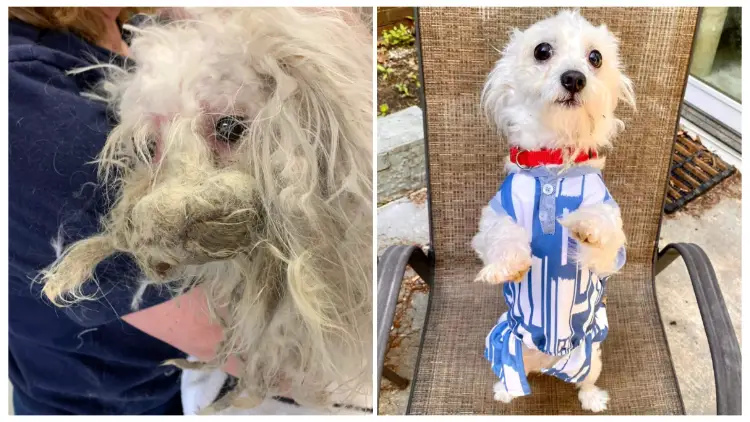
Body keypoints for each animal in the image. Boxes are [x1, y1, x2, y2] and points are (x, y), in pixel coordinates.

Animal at [472, 9, 636, 412]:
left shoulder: (612, 254)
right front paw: (509, 266)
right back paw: (504, 390)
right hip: (501, 343)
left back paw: (593, 399)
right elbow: (501, 237)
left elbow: (605, 230)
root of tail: (548, 365)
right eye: (542, 51)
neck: (552, 166)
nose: (574, 77)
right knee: (510, 373)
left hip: (593, 356)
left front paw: (583, 226)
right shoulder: (491, 222)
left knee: (586, 381)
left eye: (596, 58)